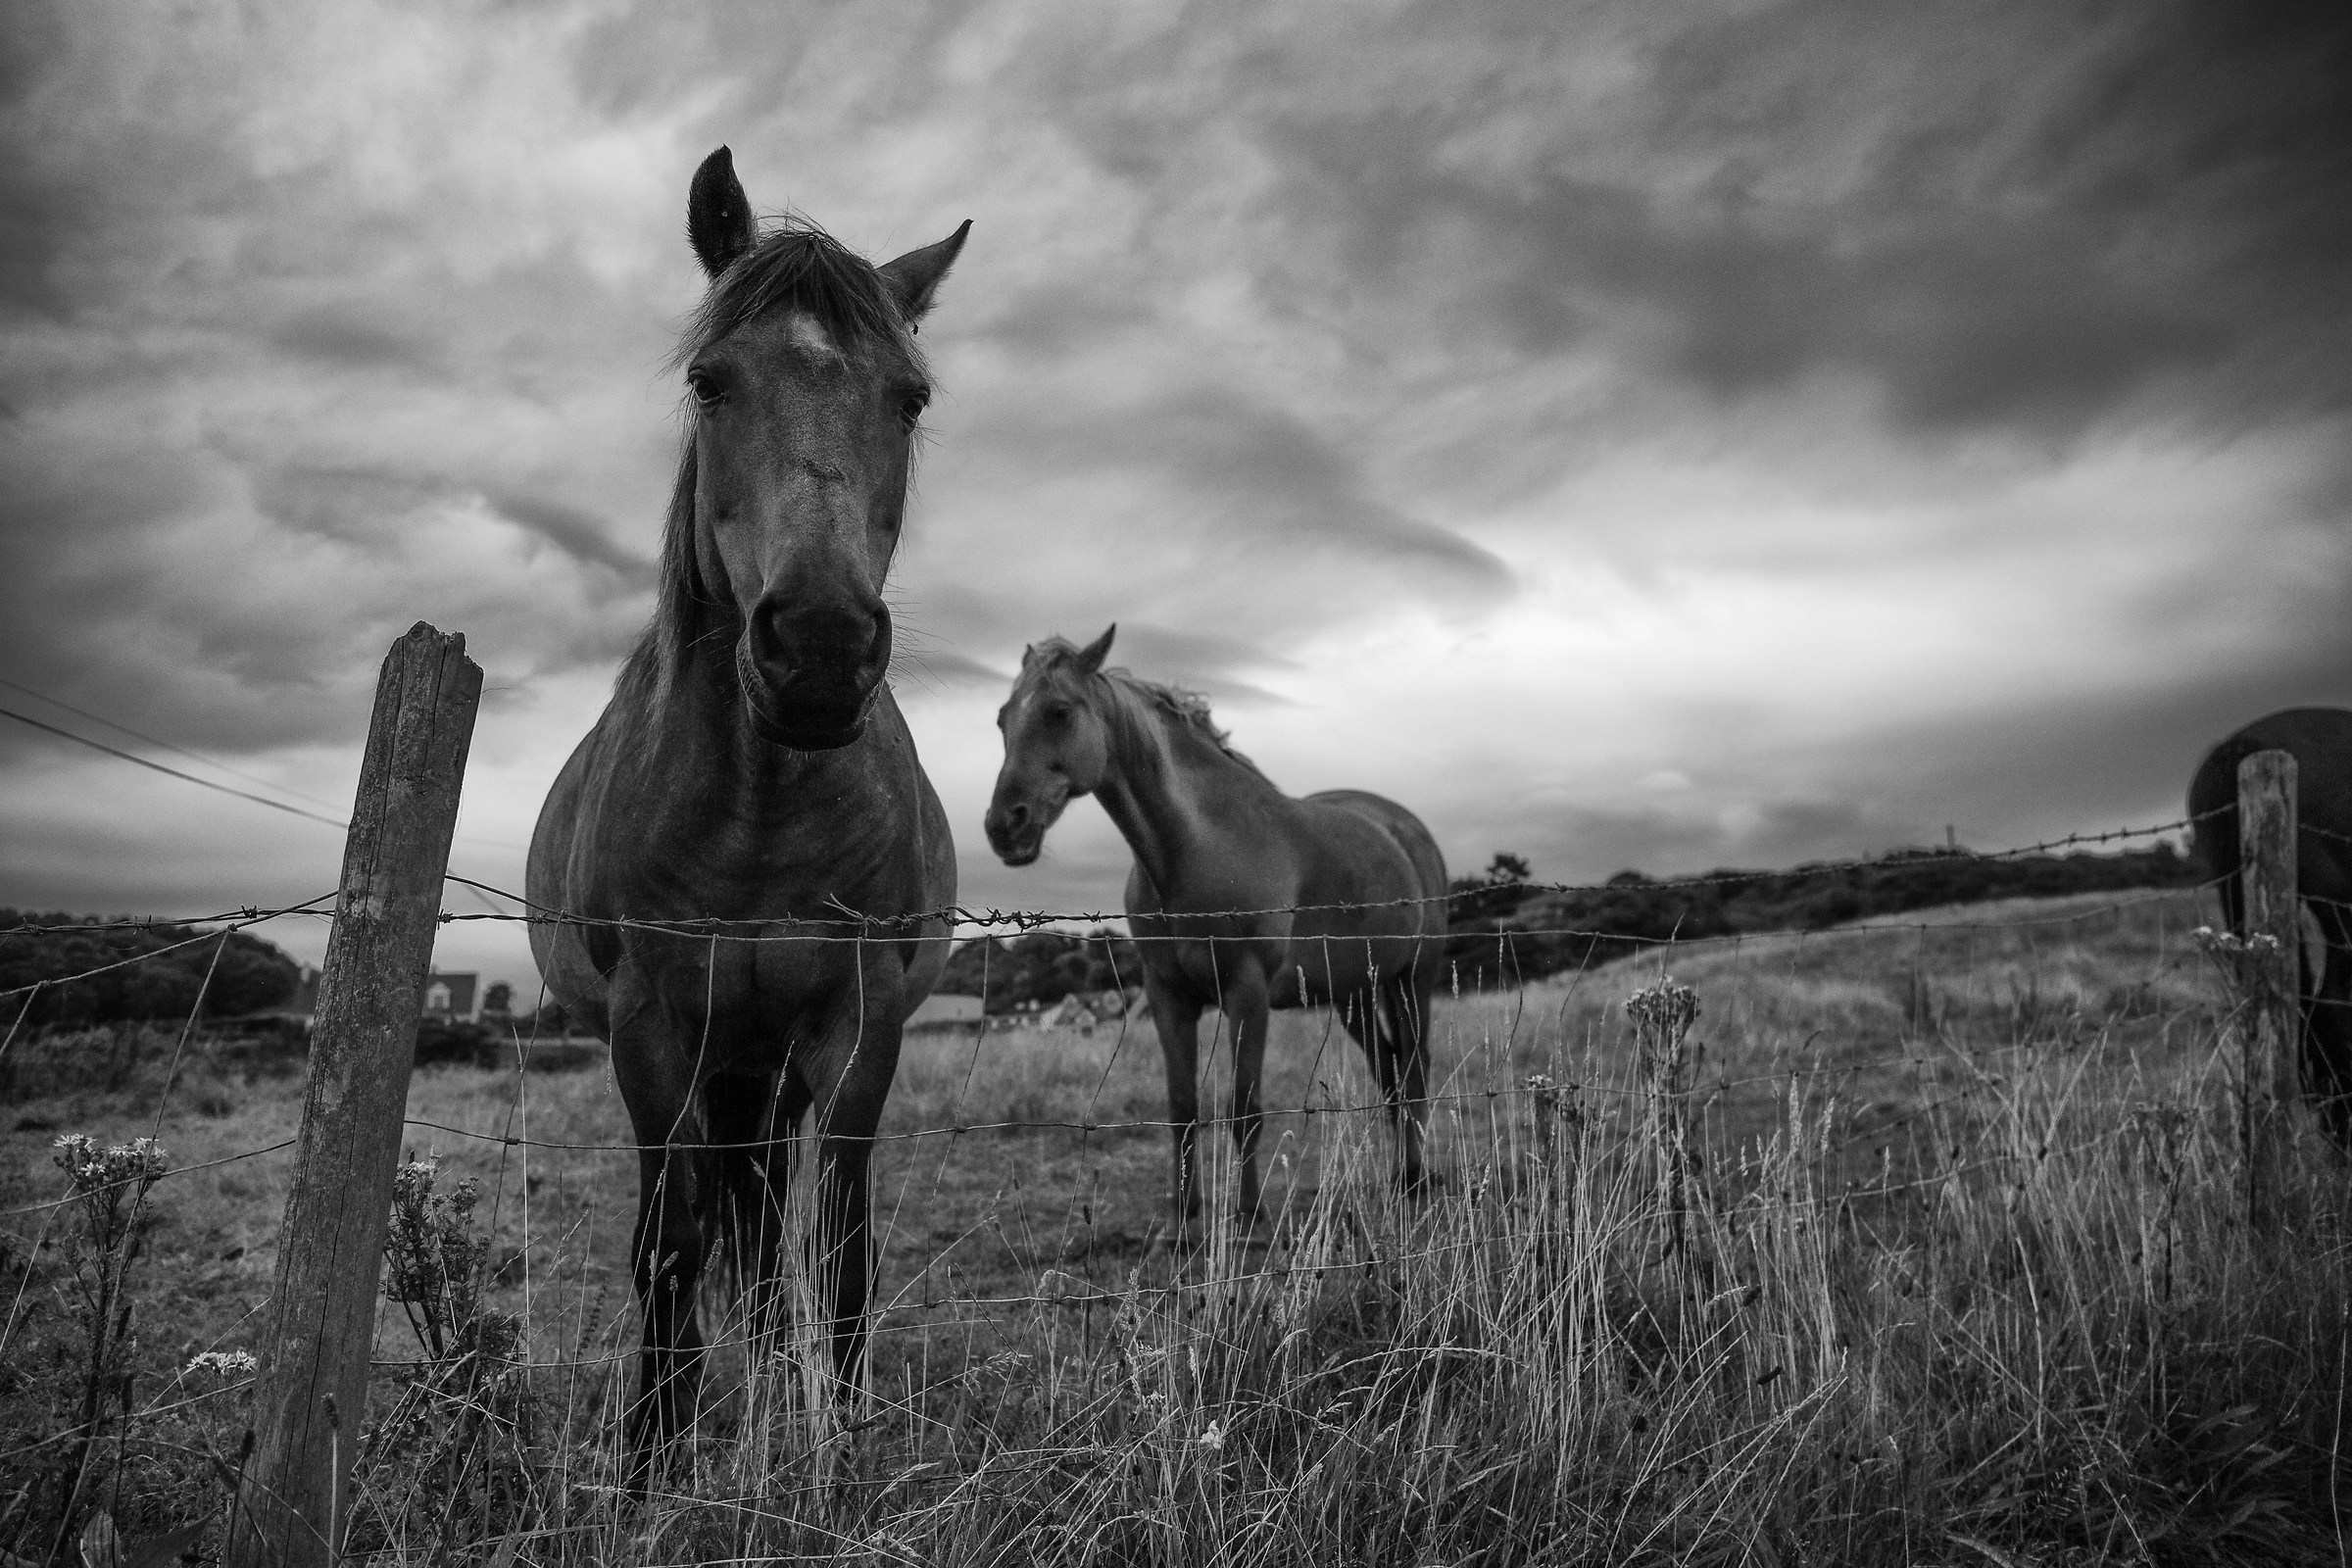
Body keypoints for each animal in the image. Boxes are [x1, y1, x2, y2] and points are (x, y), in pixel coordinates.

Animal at [527, 147, 965, 1468]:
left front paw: (839, 1442)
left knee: (768, 1217)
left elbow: (841, 1251)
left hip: (765, 1061)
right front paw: (649, 1460)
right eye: (710, 380)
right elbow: (667, 1249)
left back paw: (771, 1373)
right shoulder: (651, 1026)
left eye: (910, 398)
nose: (818, 648)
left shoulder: (856, 1025)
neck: (761, 812)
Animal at [982, 626, 1449, 1227]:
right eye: (1002, 719)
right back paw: (1399, 1181)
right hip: (1354, 995)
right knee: (1389, 1071)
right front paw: (1184, 1223)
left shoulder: (1246, 993)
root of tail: (1403, 826)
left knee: (1414, 1069)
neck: (1198, 846)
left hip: (1414, 979)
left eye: (1058, 711)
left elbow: (1244, 1107)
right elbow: (1183, 1108)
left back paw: (1415, 1177)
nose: (1004, 827)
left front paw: (1249, 1219)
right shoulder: (1169, 998)